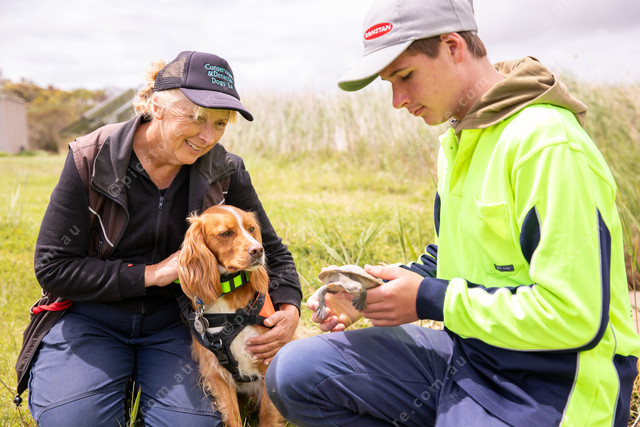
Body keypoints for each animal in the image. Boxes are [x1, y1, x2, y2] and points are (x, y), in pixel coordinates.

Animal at [178, 205, 283, 427]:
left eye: (251, 229)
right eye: (225, 233)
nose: (258, 250)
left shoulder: (269, 358)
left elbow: (268, 414)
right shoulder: (216, 372)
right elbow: (232, 416)